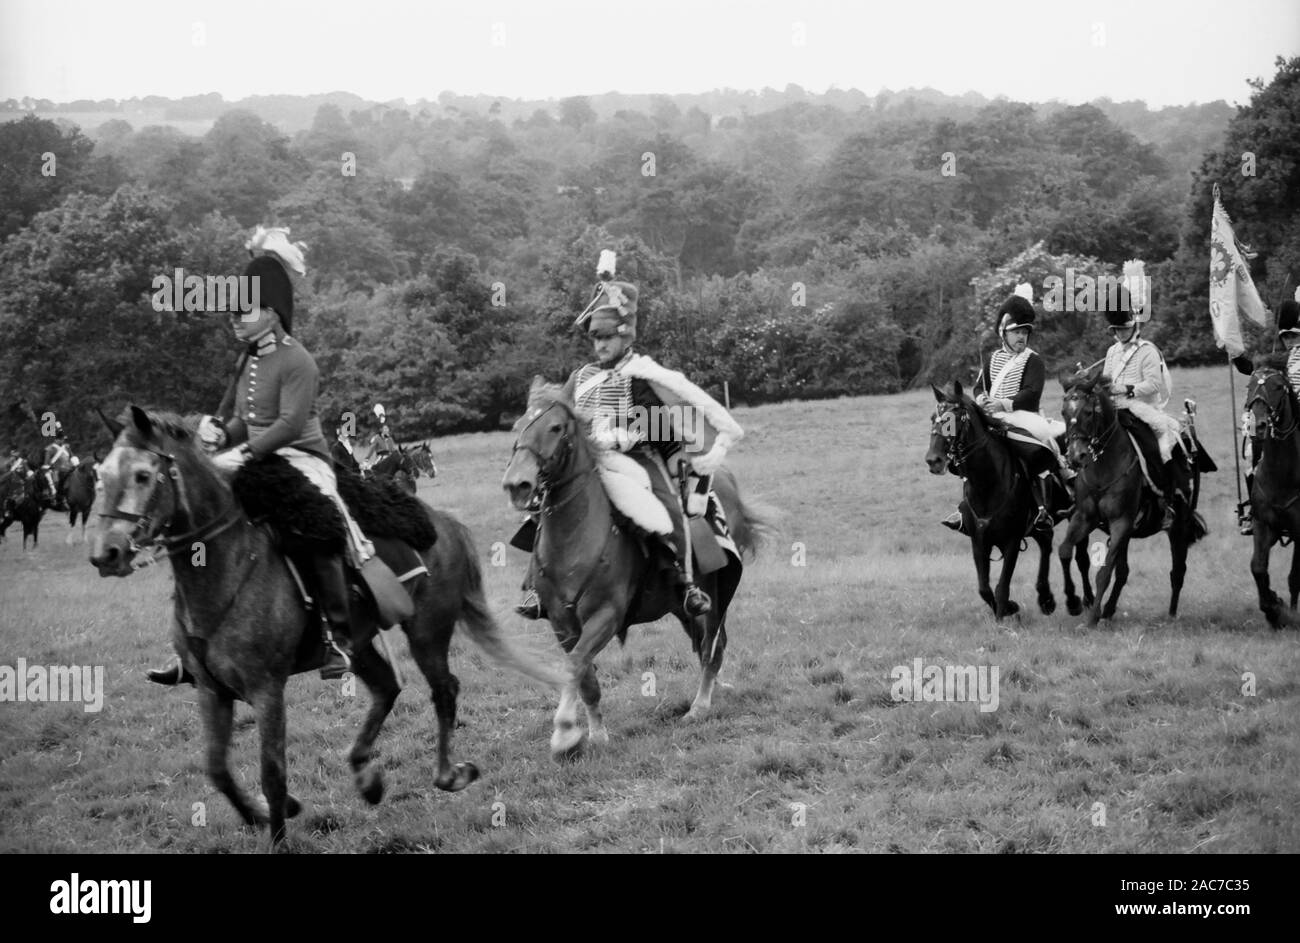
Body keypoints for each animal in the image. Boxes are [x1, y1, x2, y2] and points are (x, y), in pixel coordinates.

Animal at [86, 405, 564, 848]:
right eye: (101, 477)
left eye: (143, 475)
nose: (106, 554)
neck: (226, 567)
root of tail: (444, 523)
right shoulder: (211, 689)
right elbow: (217, 769)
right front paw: (265, 814)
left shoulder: (267, 690)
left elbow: (272, 772)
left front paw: (277, 833)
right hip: (361, 642)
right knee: (387, 689)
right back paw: (366, 778)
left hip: (426, 632)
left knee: (443, 690)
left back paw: (448, 775)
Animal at [496, 377, 769, 759]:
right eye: (519, 425)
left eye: (556, 427)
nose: (517, 484)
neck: (576, 538)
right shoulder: (562, 623)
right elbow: (584, 676)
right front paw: (594, 734)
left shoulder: (605, 616)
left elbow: (575, 665)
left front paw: (564, 733)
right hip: (681, 607)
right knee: (704, 642)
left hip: (717, 592)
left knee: (712, 646)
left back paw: (700, 706)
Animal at [930, 379, 1081, 621]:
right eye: (933, 418)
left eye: (955, 419)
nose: (933, 460)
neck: (988, 484)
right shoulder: (979, 541)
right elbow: (984, 588)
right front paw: (1010, 608)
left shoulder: (1012, 541)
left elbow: (1002, 586)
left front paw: (1003, 618)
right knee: (1046, 542)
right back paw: (1046, 598)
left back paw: (1075, 601)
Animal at [1055, 369, 1206, 624]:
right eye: (1064, 412)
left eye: (1088, 412)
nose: (1076, 456)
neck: (1103, 466)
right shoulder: (1084, 518)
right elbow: (1065, 551)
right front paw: (1074, 603)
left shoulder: (1121, 522)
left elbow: (1104, 572)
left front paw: (1091, 618)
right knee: (1124, 572)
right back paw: (1108, 611)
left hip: (1178, 526)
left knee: (1177, 571)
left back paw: (1170, 615)